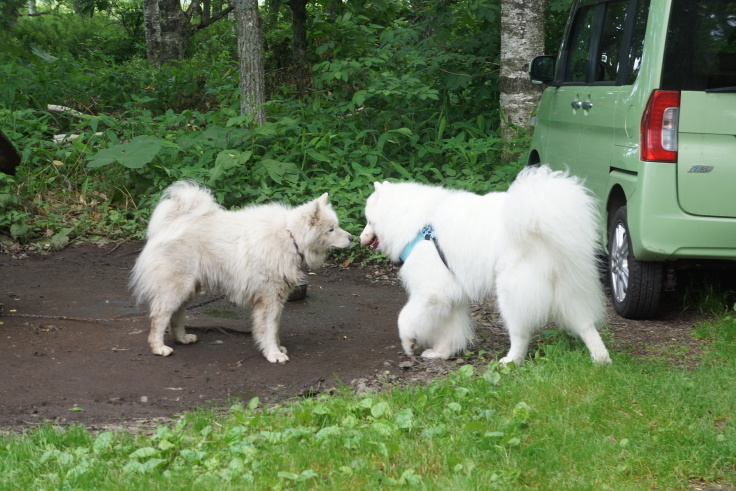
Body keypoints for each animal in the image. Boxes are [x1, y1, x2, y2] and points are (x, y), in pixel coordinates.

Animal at [130, 181, 354, 362]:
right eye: (331, 229)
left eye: (336, 226)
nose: (352, 238)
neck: (290, 236)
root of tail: (172, 222)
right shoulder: (269, 298)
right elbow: (269, 328)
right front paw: (273, 354)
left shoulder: (277, 298)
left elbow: (274, 327)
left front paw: (276, 348)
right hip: (176, 287)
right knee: (160, 316)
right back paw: (159, 347)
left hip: (189, 288)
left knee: (176, 314)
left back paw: (182, 338)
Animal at [360, 165, 608, 366]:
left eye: (368, 220)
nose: (360, 238)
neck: (415, 224)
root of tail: (539, 225)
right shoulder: (451, 295)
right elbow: (450, 330)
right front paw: (441, 353)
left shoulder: (431, 293)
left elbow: (404, 318)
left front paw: (409, 343)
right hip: (570, 288)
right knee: (585, 324)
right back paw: (601, 359)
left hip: (510, 291)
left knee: (520, 333)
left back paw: (511, 361)